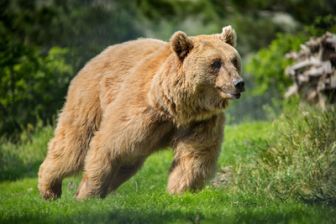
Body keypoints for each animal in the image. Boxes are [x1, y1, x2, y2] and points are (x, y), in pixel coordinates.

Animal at [38, 25, 244, 200]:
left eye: (234, 60)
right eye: (215, 63)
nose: (239, 83)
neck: (177, 107)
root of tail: (96, 57)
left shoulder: (201, 120)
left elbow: (196, 155)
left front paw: (180, 190)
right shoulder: (142, 110)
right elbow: (109, 144)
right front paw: (87, 194)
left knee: (127, 163)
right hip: (91, 97)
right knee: (74, 145)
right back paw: (49, 188)